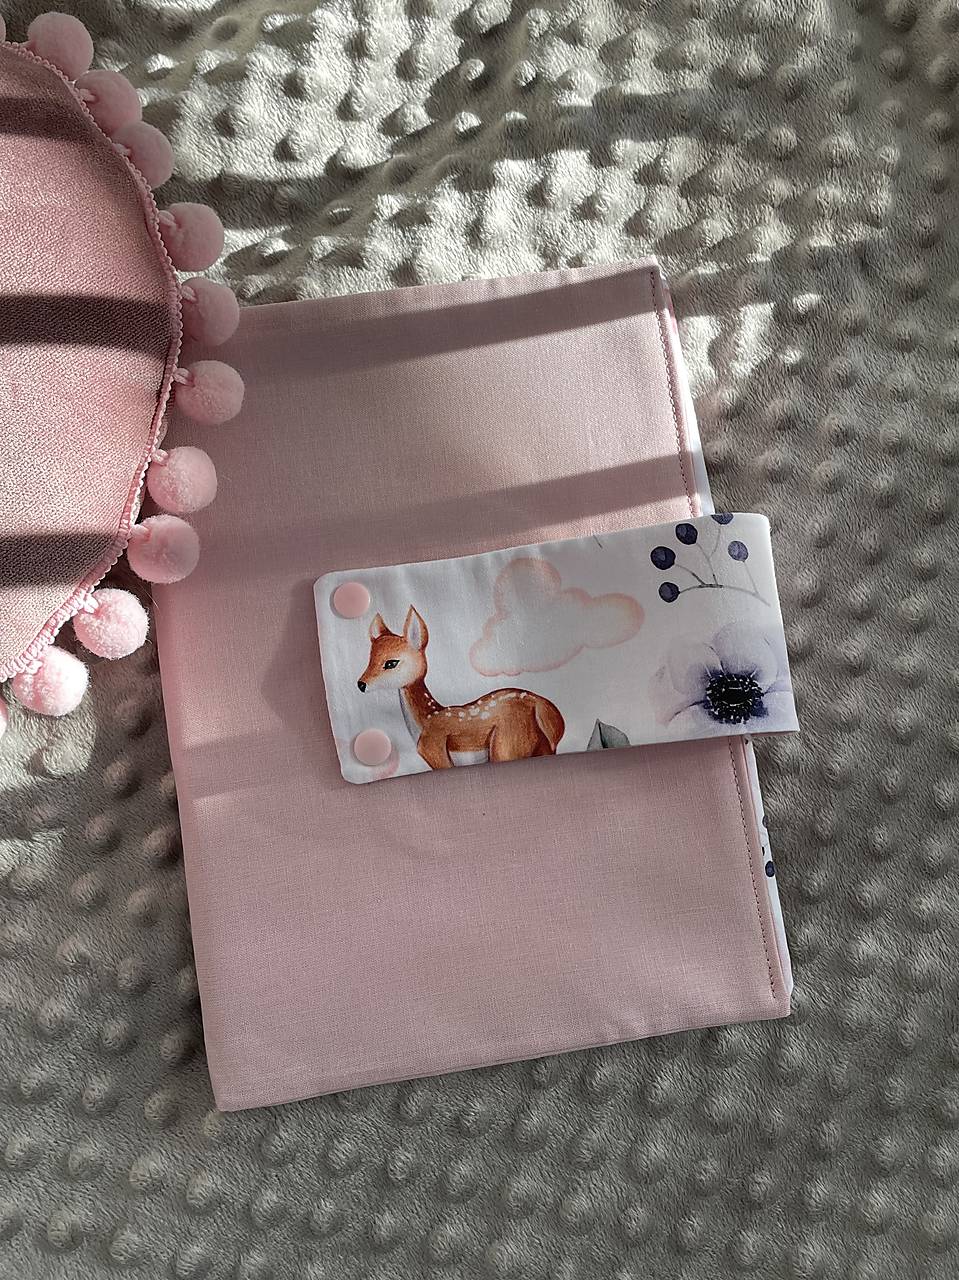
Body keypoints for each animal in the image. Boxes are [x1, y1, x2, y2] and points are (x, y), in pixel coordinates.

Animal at [357, 606, 565, 769]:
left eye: (391, 663)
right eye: (369, 659)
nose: (360, 684)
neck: (426, 720)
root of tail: (542, 706)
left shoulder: (436, 752)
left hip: (507, 745)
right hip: (542, 748)